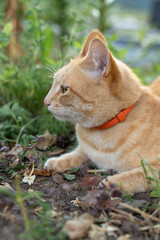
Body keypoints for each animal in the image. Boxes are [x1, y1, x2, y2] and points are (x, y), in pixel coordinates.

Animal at [43, 30, 160, 193]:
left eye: (65, 89)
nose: (45, 102)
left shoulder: (155, 169)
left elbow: (139, 174)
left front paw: (112, 182)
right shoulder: (86, 151)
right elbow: (77, 153)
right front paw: (57, 161)